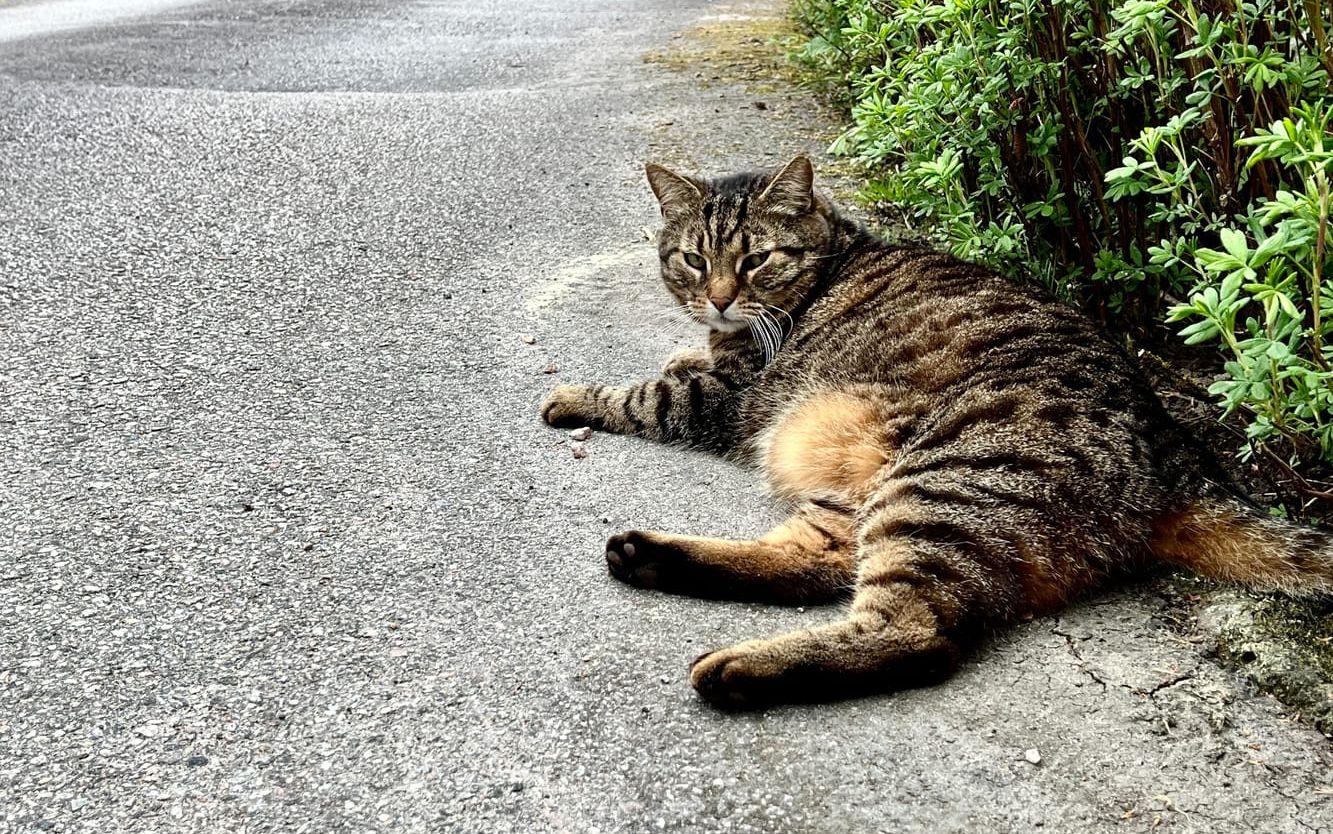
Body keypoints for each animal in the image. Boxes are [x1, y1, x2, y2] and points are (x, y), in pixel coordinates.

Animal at [541, 154, 1333, 708]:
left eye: (756, 260)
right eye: (694, 259)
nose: (718, 298)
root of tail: (1177, 455)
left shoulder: (721, 396)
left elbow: (642, 395)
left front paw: (573, 396)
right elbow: (678, 362)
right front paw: (681, 346)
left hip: (940, 483)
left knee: (915, 633)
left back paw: (734, 667)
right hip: (875, 489)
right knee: (815, 565)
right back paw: (651, 557)